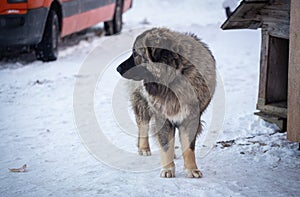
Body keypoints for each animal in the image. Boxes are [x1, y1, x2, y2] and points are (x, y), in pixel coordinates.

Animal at [116, 27, 216, 177]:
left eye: (135, 54)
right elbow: (166, 146)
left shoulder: (191, 118)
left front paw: (192, 169)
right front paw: (168, 169)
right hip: (142, 102)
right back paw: (144, 148)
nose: (118, 68)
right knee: (143, 125)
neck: (175, 78)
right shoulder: (163, 117)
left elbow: (188, 147)